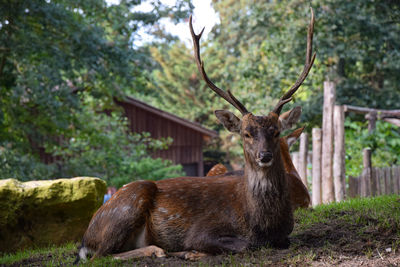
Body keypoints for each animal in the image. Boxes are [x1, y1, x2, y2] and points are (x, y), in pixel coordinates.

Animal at [73, 7, 314, 264]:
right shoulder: (202, 229)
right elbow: (245, 244)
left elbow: (282, 241)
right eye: (246, 133)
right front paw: (189, 251)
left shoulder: (286, 233)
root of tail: (85, 238)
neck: (261, 222)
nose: (264, 155)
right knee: (101, 256)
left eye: (276, 131)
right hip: (129, 202)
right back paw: (157, 250)